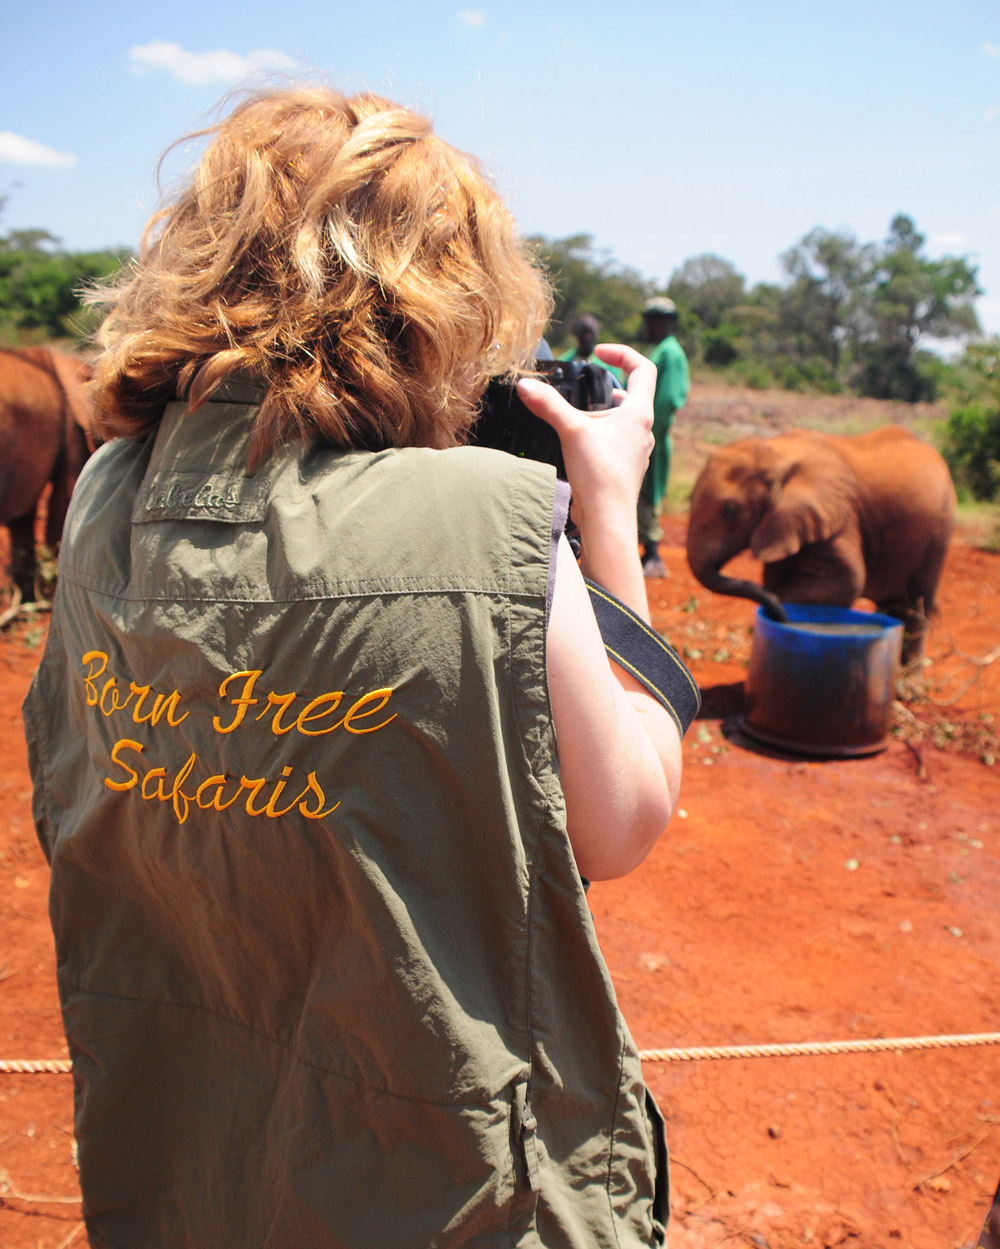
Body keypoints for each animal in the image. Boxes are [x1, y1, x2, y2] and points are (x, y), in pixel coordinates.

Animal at [685, 426, 957, 664]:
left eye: (730, 511)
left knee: (917, 607)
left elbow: (845, 582)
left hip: (939, 531)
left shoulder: (841, 516)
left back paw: (909, 686)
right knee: (897, 606)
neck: (778, 452)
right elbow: (776, 579)